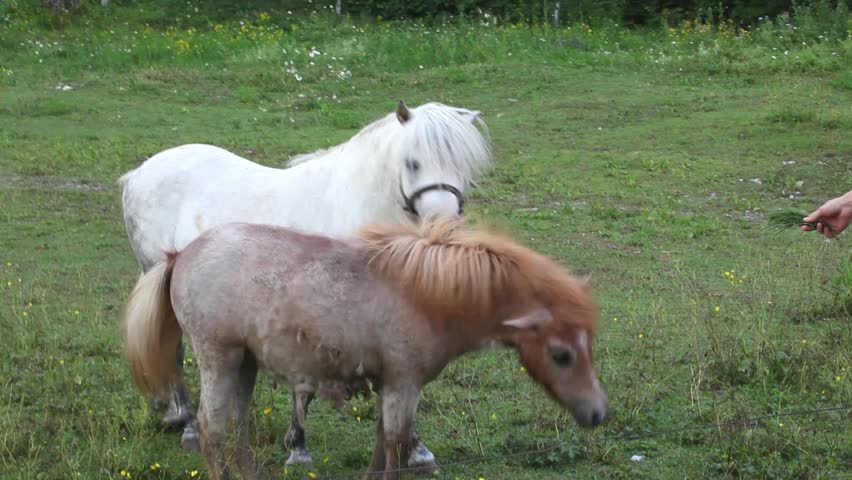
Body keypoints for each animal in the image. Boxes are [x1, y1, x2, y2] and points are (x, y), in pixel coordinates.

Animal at [117, 100, 492, 468]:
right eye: (413, 162)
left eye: (464, 166)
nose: (444, 226)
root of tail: (139, 173)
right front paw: (298, 446)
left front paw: (416, 449)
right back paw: (189, 426)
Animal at [122, 218, 610, 480]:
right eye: (562, 354)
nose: (598, 413)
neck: (427, 294)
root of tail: (179, 255)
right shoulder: (403, 385)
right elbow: (395, 448)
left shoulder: (390, 386)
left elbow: (382, 446)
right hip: (218, 359)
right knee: (212, 427)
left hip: (244, 363)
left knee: (236, 428)